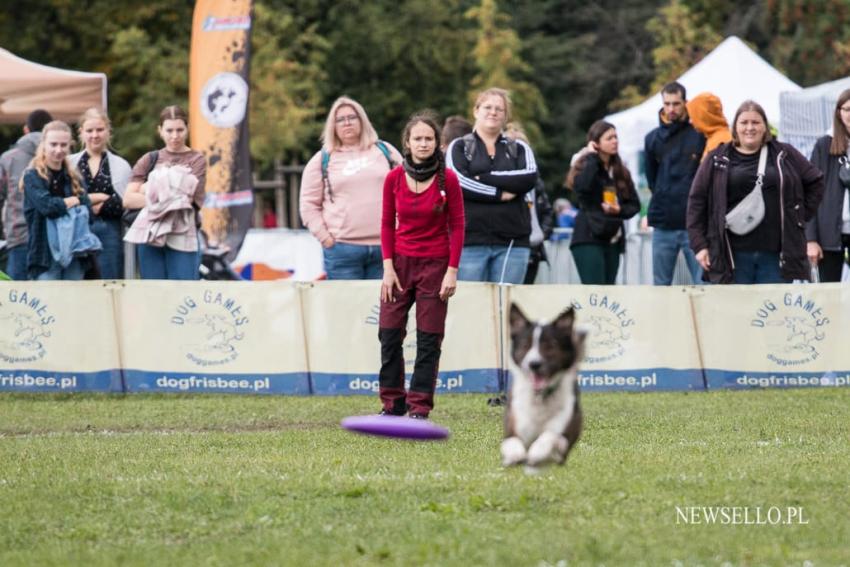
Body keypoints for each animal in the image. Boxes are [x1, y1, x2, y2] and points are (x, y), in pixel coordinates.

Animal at [504, 304, 584, 472]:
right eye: (525, 345)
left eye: (550, 346)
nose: (534, 364)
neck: (540, 397)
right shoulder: (514, 420)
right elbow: (512, 440)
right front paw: (514, 455)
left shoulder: (564, 428)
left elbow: (551, 437)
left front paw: (537, 452)